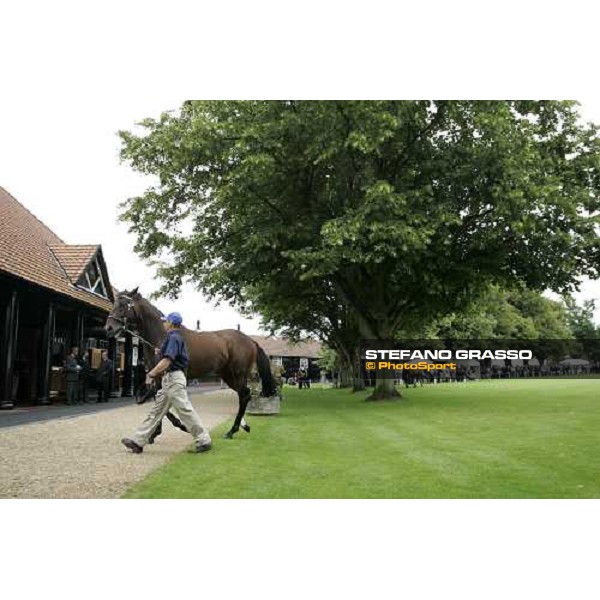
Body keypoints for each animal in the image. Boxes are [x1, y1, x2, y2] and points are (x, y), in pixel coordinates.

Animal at [104, 288, 278, 438]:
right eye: (114, 302)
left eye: (123, 305)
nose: (108, 328)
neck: (162, 336)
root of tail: (250, 340)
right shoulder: (158, 377)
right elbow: (158, 401)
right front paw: (154, 432)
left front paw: (179, 426)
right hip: (228, 376)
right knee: (243, 395)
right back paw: (243, 426)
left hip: (238, 374)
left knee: (244, 395)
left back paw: (232, 430)